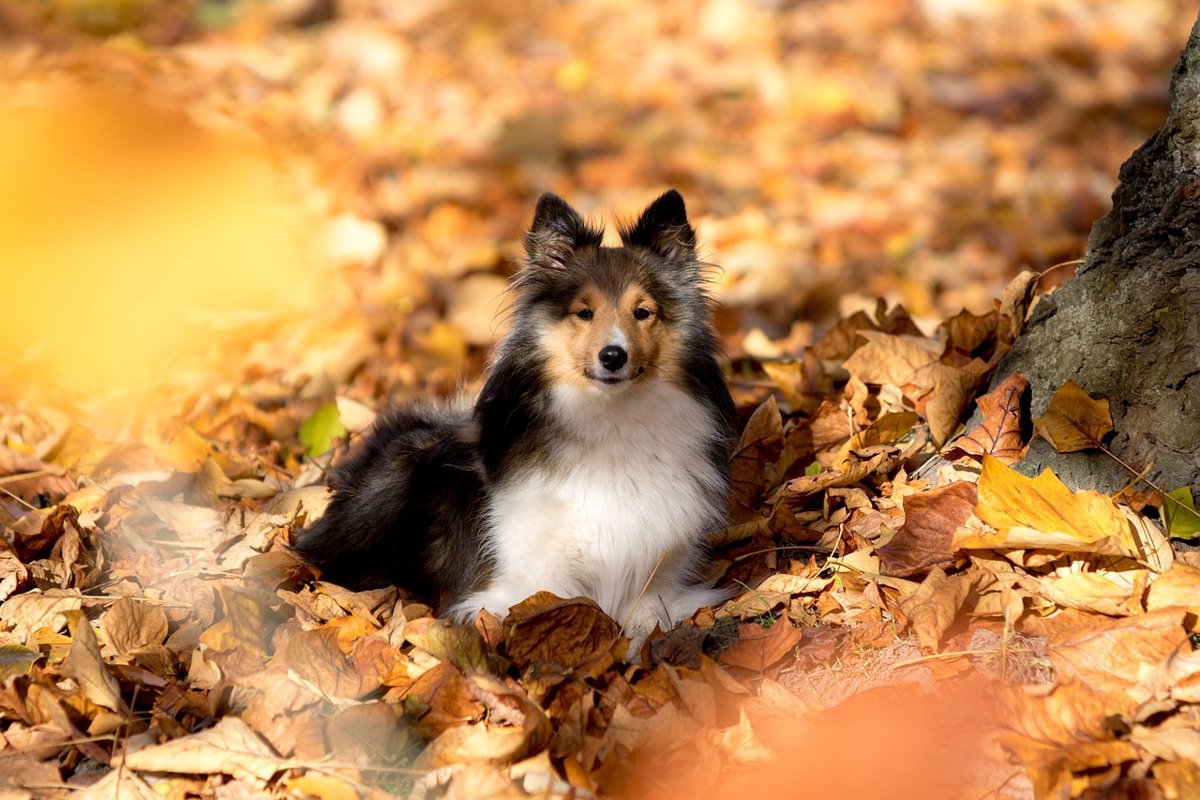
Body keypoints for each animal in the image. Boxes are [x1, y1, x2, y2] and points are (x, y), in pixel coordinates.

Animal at [295, 190, 734, 647]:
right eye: (584, 313)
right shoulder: (523, 586)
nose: (613, 356)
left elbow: (649, 615)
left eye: (643, 312)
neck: (610, 419)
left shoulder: (658, 576)